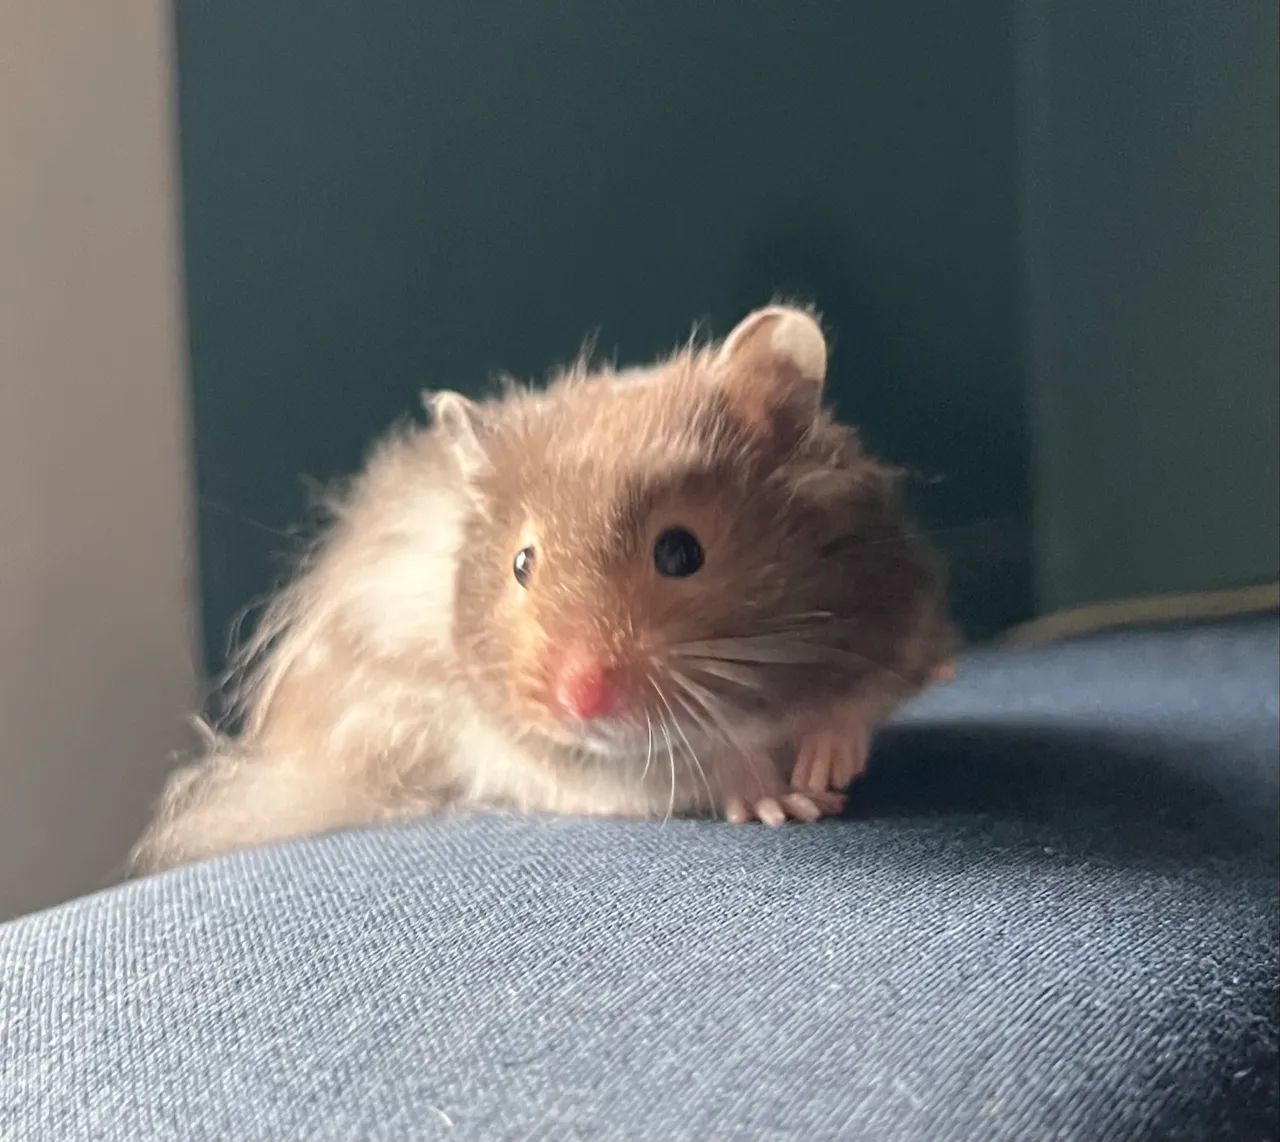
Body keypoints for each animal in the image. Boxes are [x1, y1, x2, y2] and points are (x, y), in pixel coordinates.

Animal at [132, 305, 956, 874]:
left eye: (681, 550)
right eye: (522, 563)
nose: (578, 698)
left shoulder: (900, 620)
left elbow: (855, 705)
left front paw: (825, 770)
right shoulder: (568, 760)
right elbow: (705, 764)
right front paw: (783, 802)